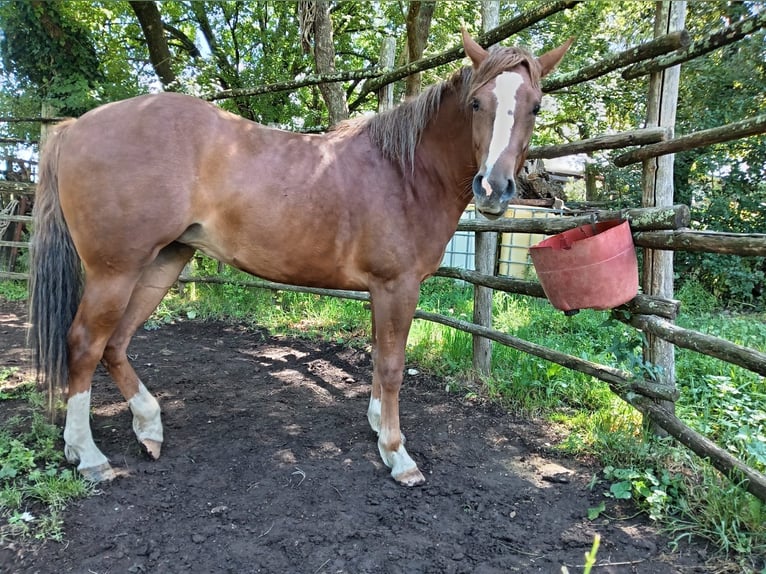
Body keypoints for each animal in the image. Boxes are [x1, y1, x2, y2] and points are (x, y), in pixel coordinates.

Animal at [29, 30, 570, 486]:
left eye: (536, 106)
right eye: (477, 102)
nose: (494, 189)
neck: (405, 172)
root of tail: (75, 127)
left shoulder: (383, 290)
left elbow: (379, 358)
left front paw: (377, 425)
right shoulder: (398, 285)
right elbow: (392, 365)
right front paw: (397, 454)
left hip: (162, 261)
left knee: (116, 344)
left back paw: (148, 427)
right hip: (115, 270)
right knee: (85, 344)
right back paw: (89, 455)